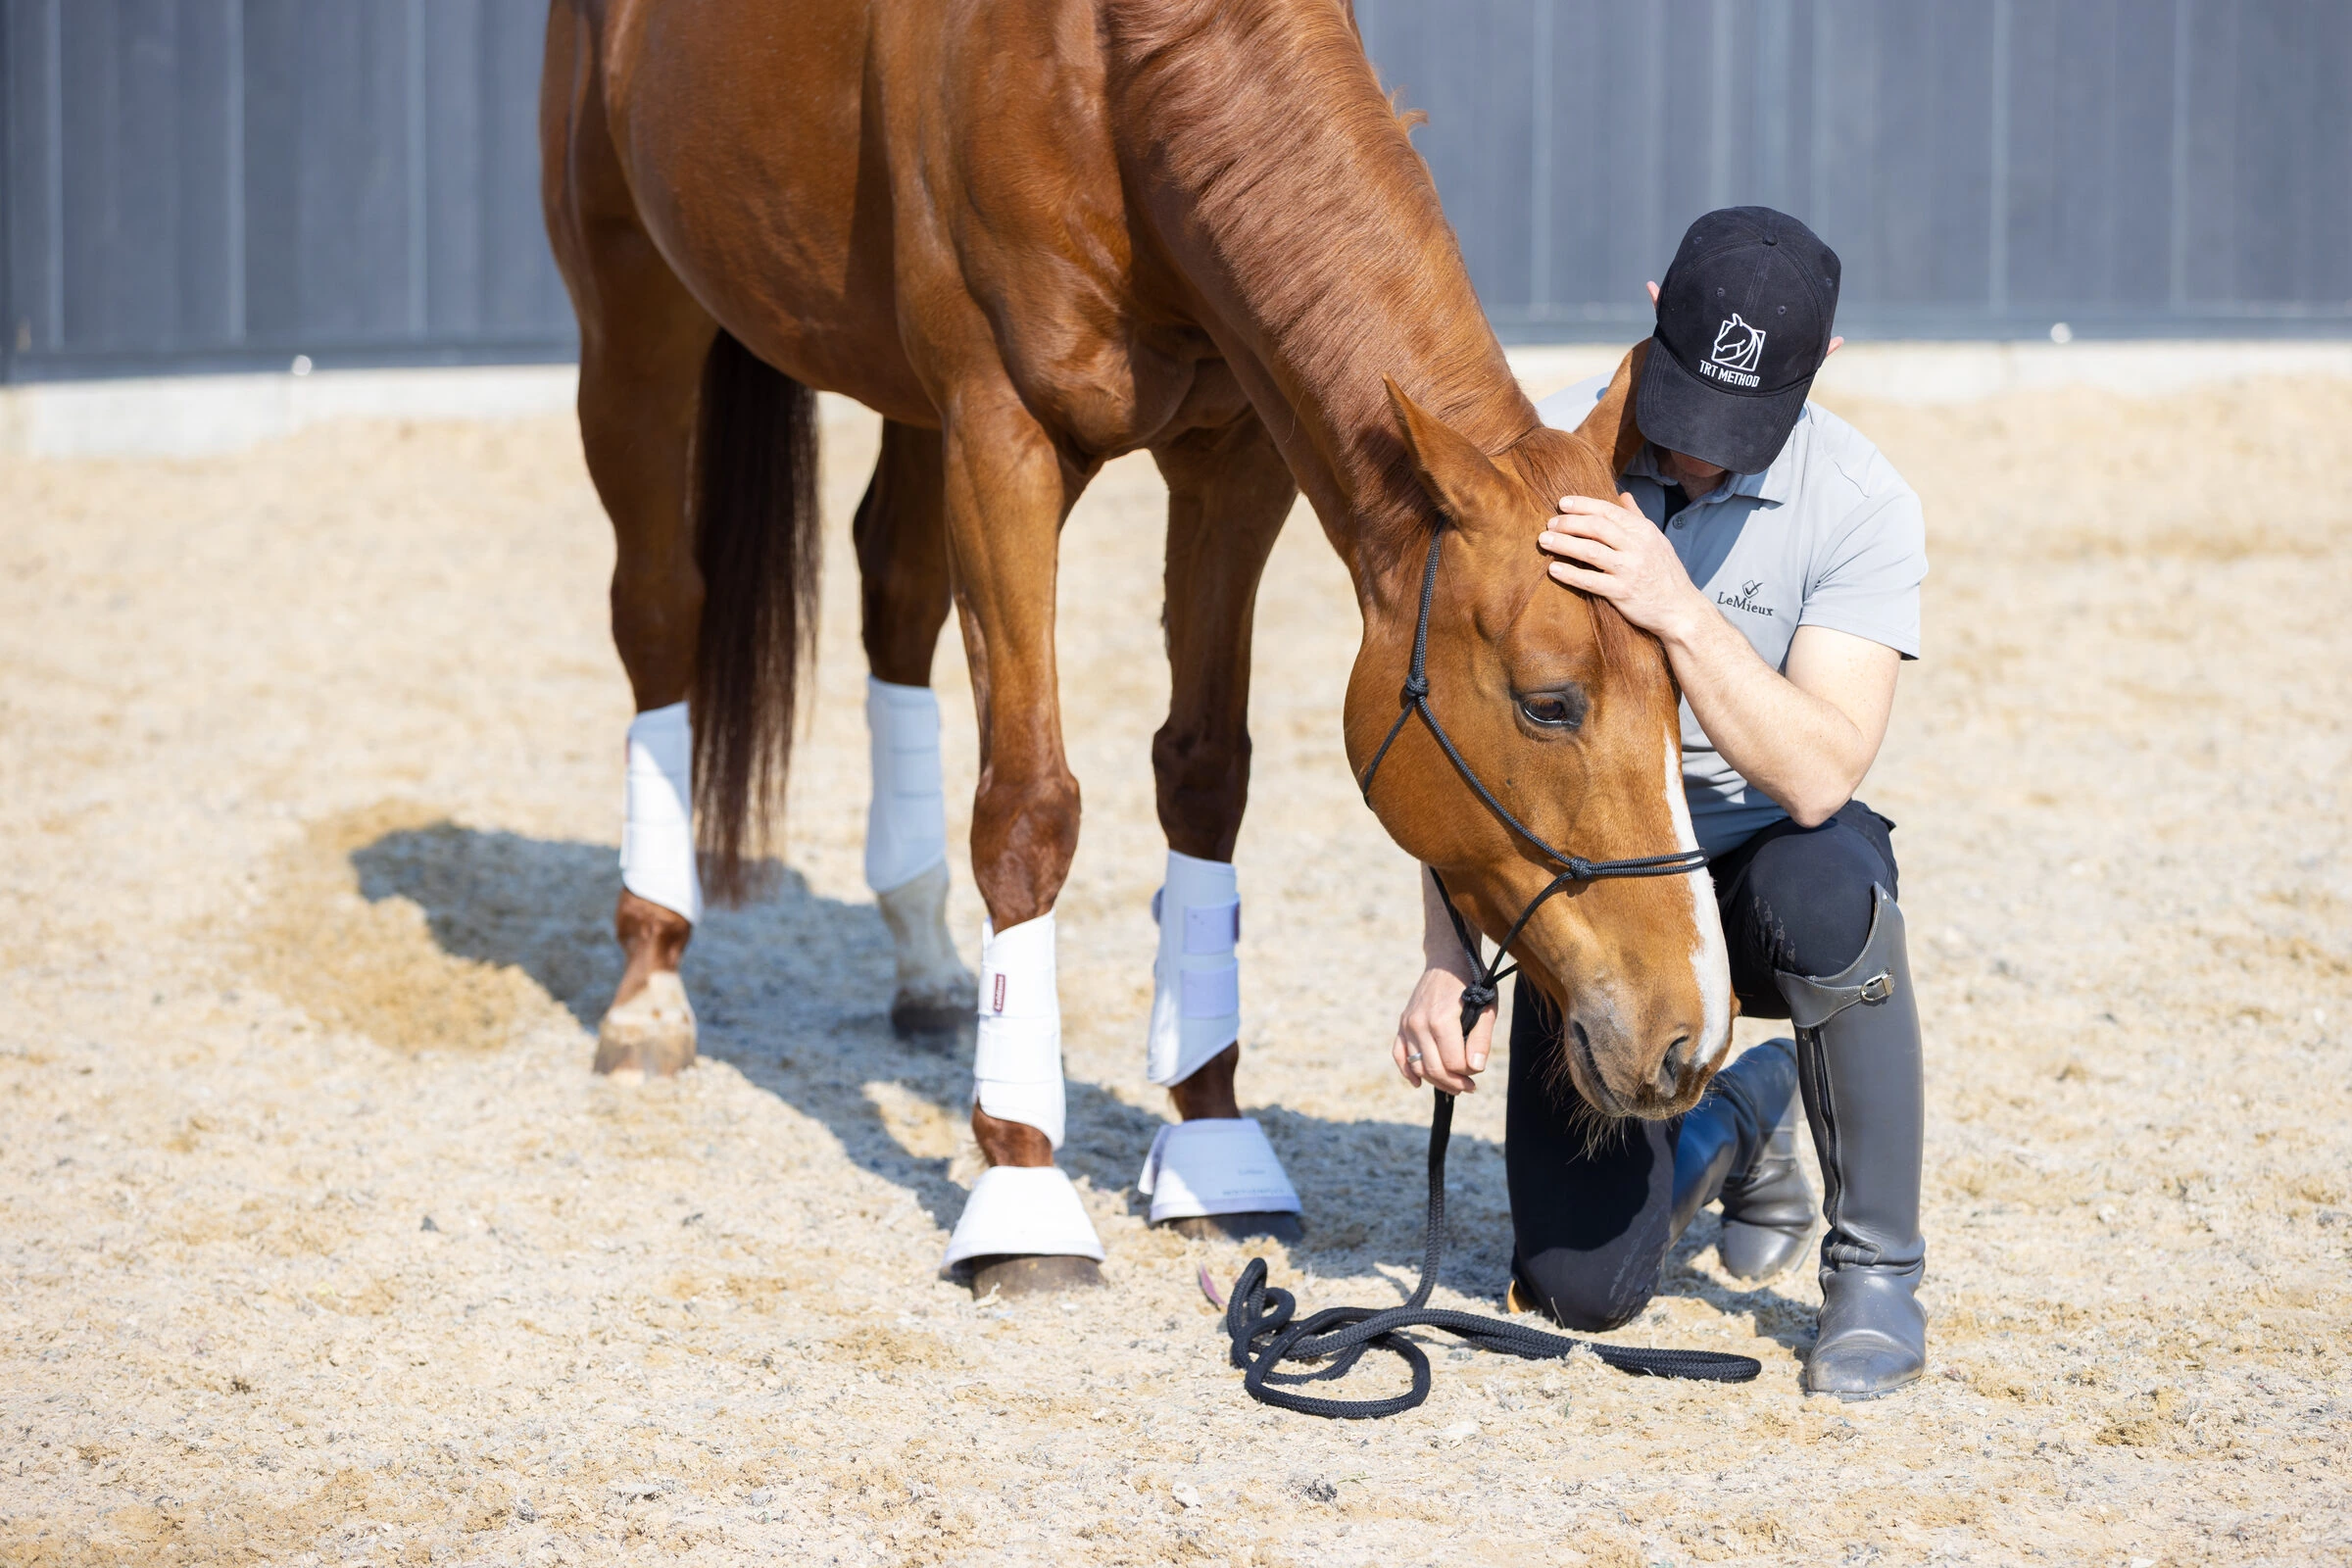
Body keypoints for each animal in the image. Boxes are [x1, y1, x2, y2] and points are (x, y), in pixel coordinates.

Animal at [540, 0, 1732, 1294]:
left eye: (1683, 694)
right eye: (1550, 702)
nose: (1691, 1033)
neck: (1110, 78)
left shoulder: (1235, 453)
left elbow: (1205, 778)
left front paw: (1212, 1141)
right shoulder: (1002, 440)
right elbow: (1028, 807)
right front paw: (1021, 1187)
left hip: (903, 402)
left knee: (893, 599)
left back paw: (926, 964)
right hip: (634, 311)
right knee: (660, 613)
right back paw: (650, 986)